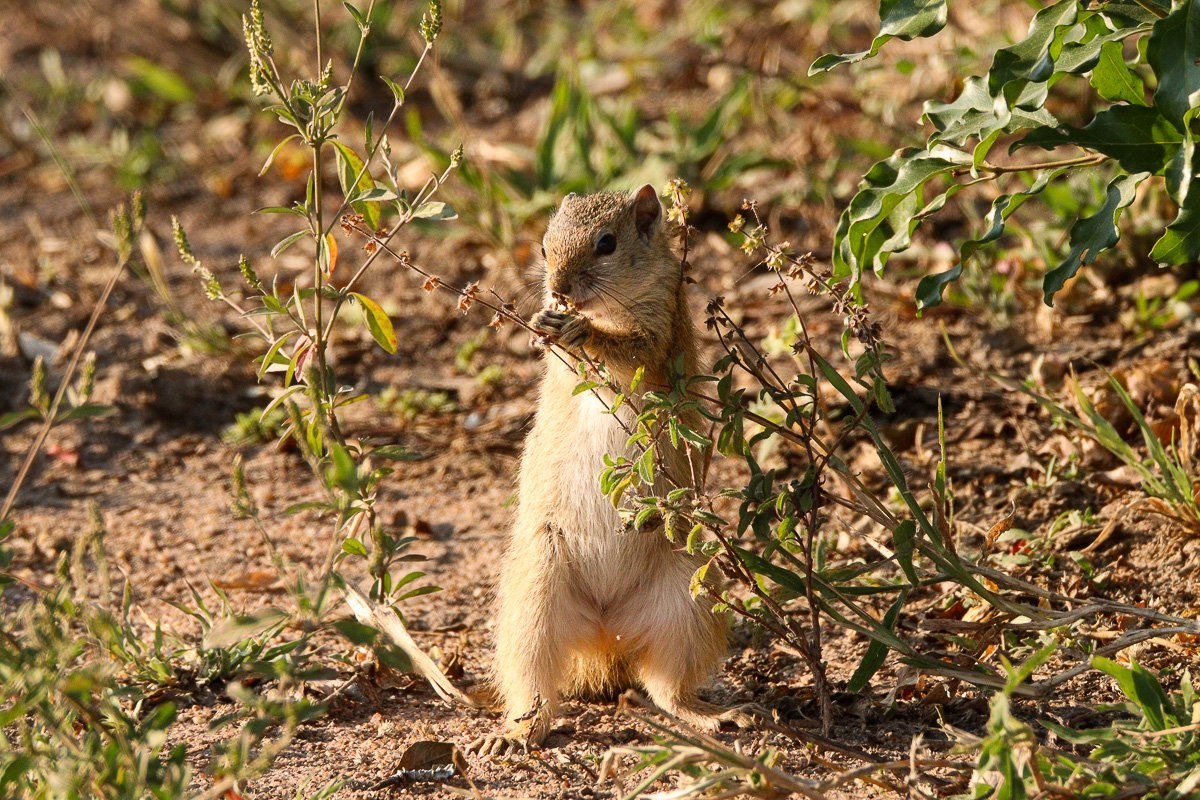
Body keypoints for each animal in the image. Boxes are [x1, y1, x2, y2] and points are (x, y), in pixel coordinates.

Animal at [470, 185, 755, 756]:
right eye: (543, 246)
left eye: (607, 244)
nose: (559, 288)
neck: (606, 306)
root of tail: (607, 631)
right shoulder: (563, 371)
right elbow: (560, 363)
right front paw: (545, 322)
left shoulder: (662, 330)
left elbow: (632, 350)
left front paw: (582, 330)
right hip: (534, 599)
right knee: (535, 689)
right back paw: (515, 734)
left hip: (688, 605)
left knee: (667, 689)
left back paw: (707, 717)